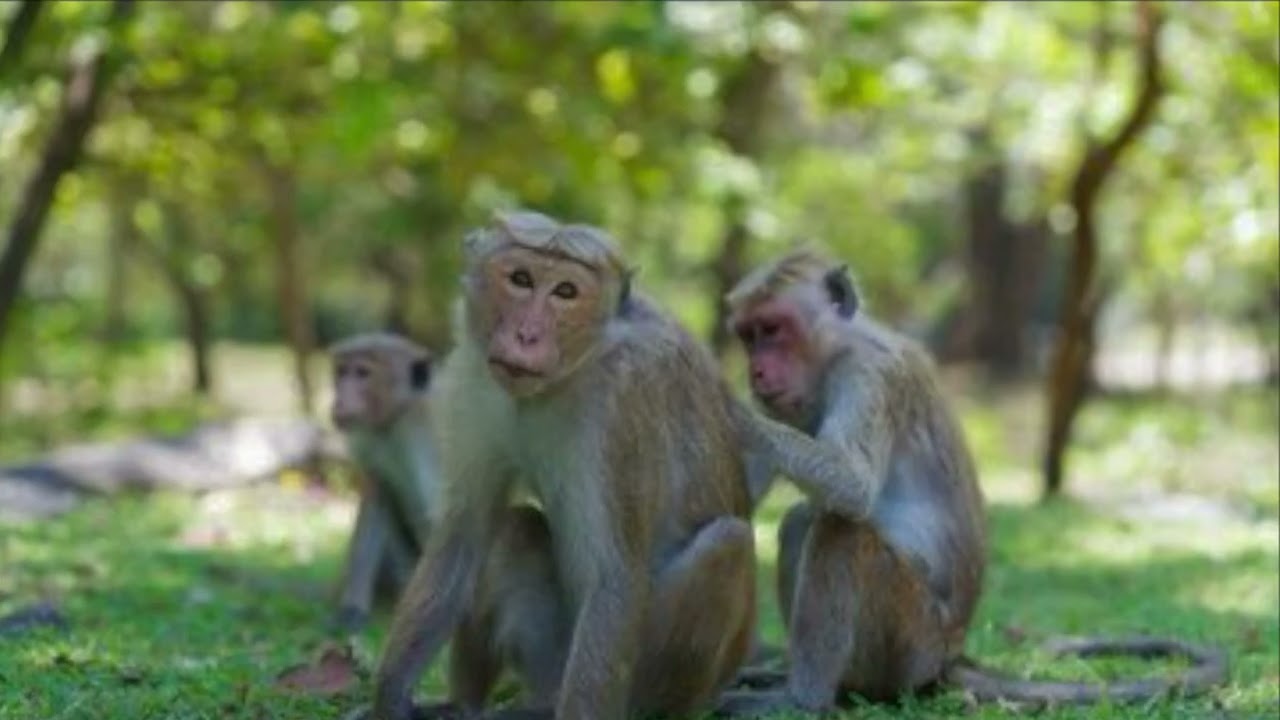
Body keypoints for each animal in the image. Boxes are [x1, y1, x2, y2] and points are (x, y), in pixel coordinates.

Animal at [328, 332, 440, 633]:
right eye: (341, 372)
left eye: (362, 373)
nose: (339, 401)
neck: (395, 418)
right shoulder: (370, 439)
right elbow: (376, 503)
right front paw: (353, 607)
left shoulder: (425, 436)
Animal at [345, 211, 863, 720]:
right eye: (520, 279)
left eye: (566, 292)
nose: (526, 335)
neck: (572, 369)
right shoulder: (477, 383)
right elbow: (463, 533)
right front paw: (390, 699)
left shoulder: (623, 399)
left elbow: (615, 574)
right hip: (554, 661)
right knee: (514, 528)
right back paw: (474, 706)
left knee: (725, 543)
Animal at [716, 250, 1228, 715]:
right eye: (748, 336)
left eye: (773, 330)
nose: (755, 371)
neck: (836, 350)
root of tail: (949, 655)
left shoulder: (869, 375)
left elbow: (853, 487)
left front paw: (731, 409)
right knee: (805, 522)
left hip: (911, 643)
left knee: (837, 529)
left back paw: (805, 700)